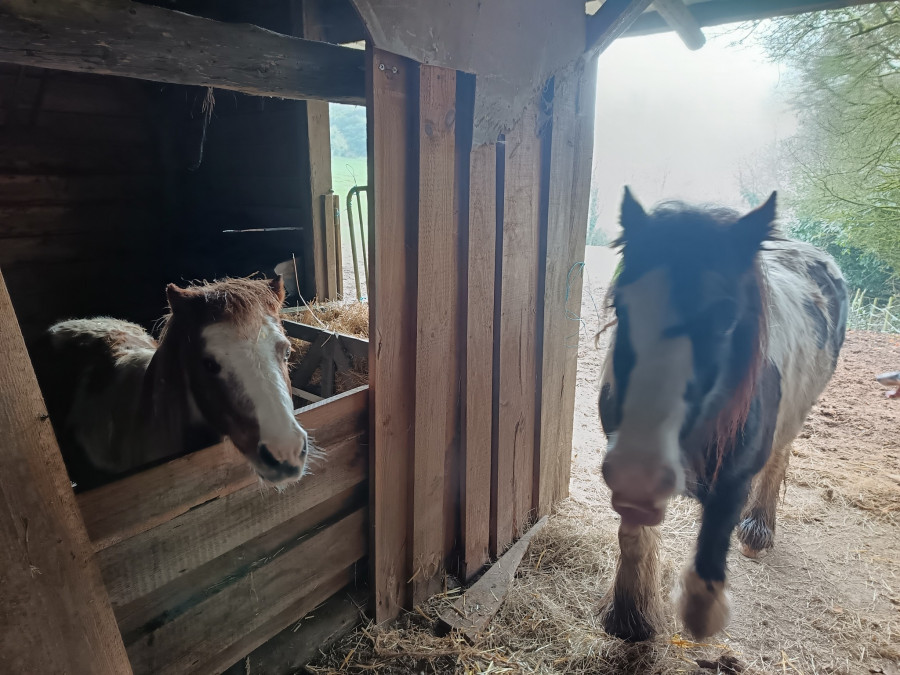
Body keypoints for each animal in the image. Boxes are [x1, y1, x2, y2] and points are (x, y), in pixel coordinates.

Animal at [596, 188, 847, 642]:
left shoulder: (734, 476)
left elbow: (714, 537)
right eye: (622, 308)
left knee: (779, 460)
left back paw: (758, 530)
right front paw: (630, 616)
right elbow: (633, 537)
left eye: (726, 321)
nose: (640, 466)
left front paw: (701, 611)